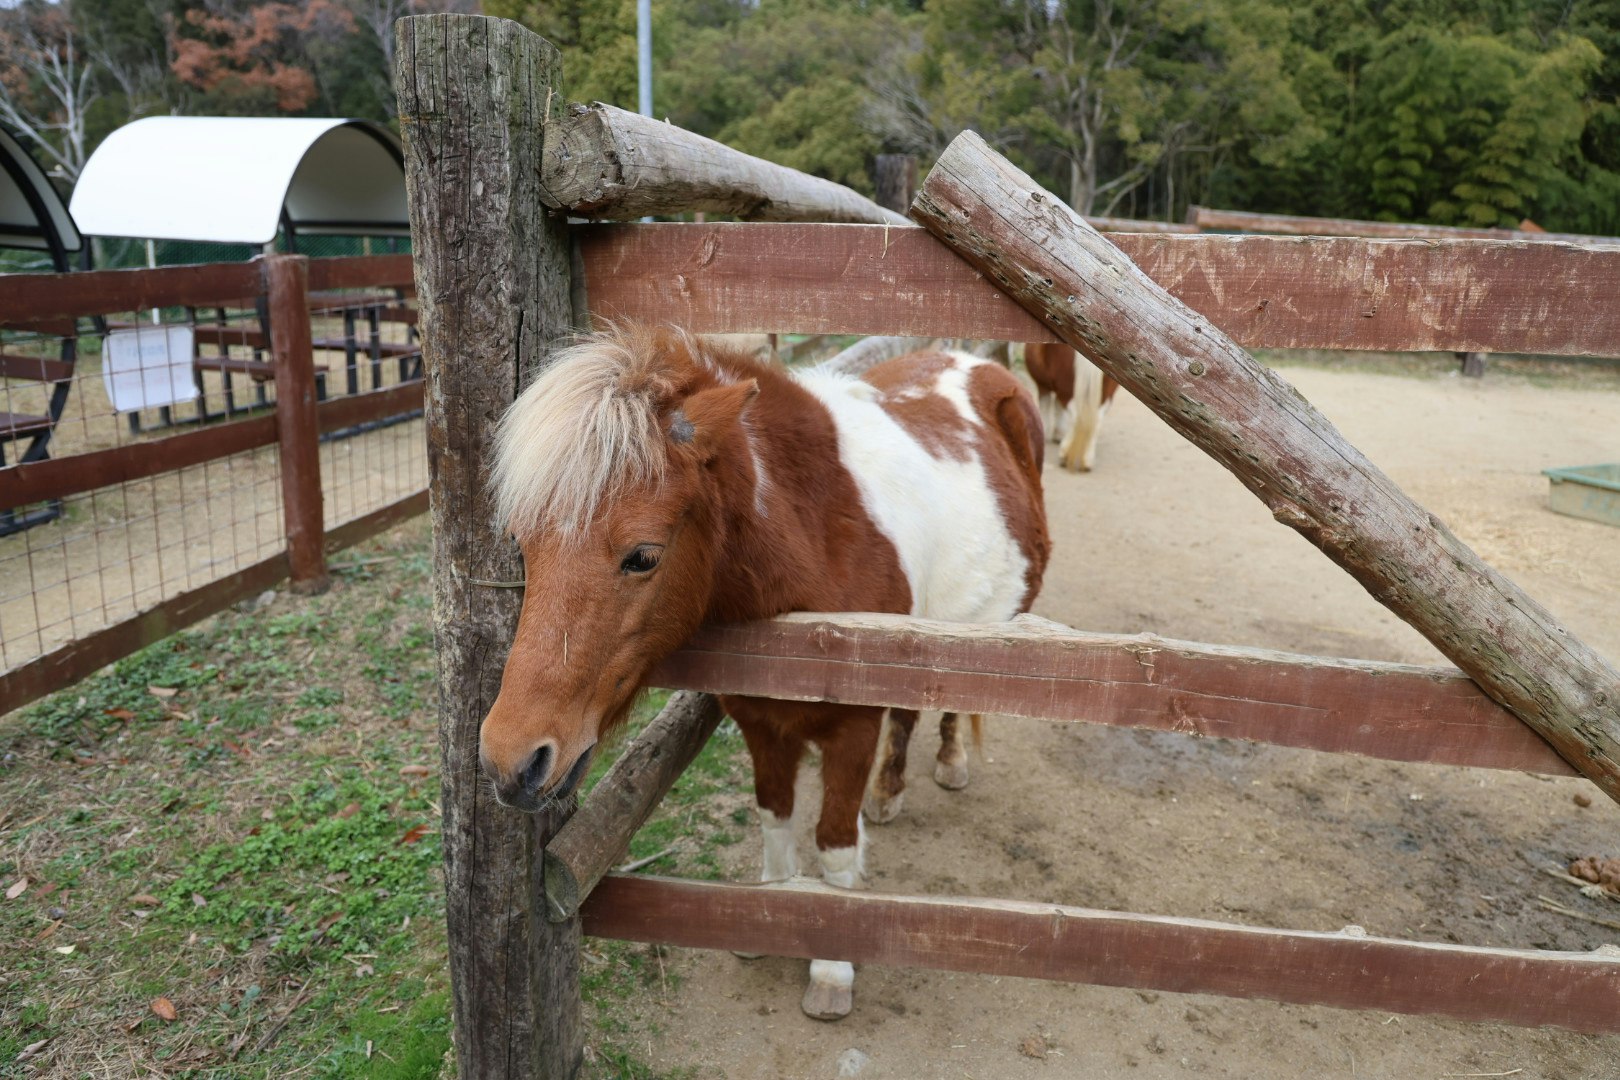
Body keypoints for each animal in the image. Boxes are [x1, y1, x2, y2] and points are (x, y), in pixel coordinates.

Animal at [478, 324, 1050, 1020]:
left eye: (643, 556)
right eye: (523, 546)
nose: (510, 761)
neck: (819, 545)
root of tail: (976, 364)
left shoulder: (853, 729)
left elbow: (833, 841)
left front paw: (832, 966)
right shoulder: (760, 723)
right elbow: (776, 817)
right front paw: (765, 919)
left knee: (948, 706)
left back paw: (948, 762)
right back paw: (888, 793)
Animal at [1023, 341, 1119, 471]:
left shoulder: (1043, 384)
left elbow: (1045, 407)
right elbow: (1058, 407)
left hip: (1065, 385)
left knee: (1075, 415)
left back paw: (1065, 454)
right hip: (1107, 391)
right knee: (1097, 418)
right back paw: (1087, 459)